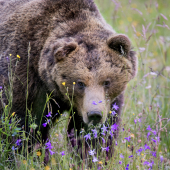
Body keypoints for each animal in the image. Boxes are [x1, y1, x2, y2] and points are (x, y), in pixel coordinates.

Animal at [0, 0, 137, 161]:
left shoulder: (108, 103)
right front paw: (30, 157)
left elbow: (94, 135)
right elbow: (23, 125)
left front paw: (91, 157)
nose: (94, 114)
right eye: (80, 83)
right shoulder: (25, 77)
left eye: (107, 81)